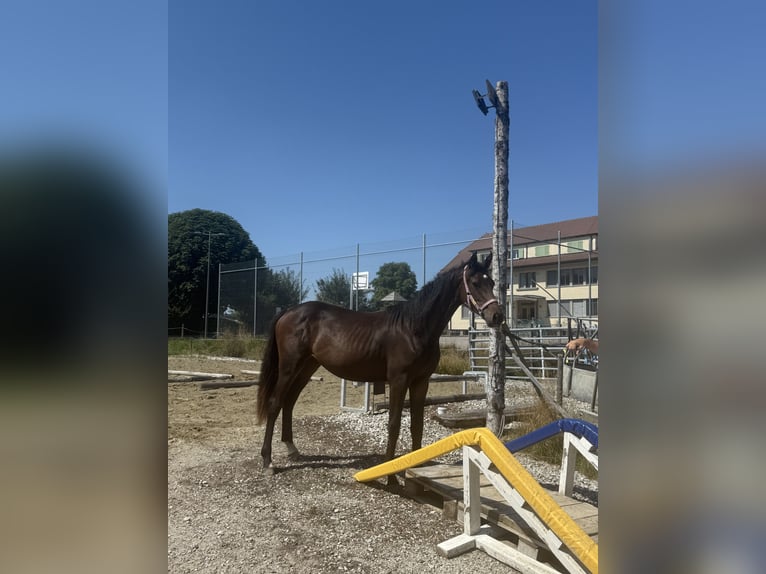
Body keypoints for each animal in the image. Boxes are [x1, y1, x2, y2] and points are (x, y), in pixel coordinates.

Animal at [256, 251, 504, 477]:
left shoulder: (421, 382)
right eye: (475, 283)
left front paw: (416, 464)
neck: (413, 328)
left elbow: (417, 423)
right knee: (275, 403)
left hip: (307, 367)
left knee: (289, 403)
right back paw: (268, 461)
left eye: (492, 282)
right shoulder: (398, 380)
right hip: (289, 367)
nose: (497, 316)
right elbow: (394, 423)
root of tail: (289, 311)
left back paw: (292, 449)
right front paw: (388, 468)